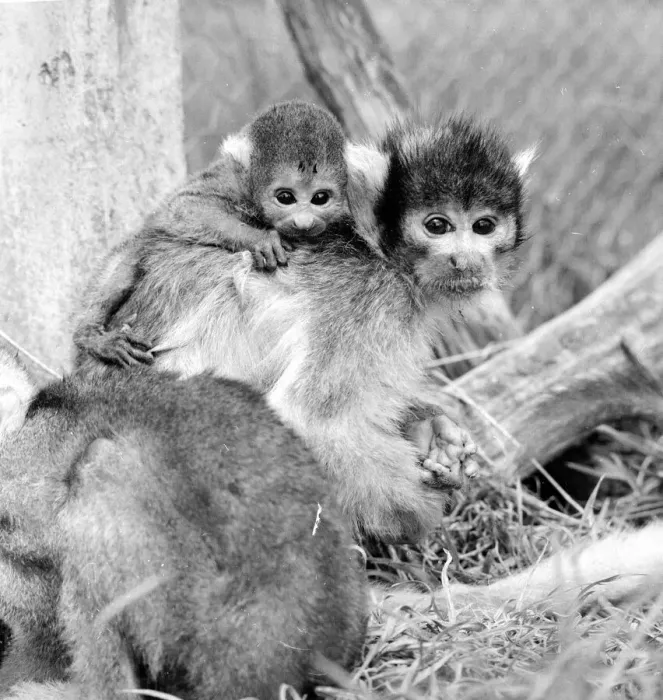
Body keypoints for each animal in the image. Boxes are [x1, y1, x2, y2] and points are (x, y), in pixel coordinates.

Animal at [73, 100, 357, 371]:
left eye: (320, 198)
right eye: (285, 197)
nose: (304, 221)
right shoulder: (230, 181)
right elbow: (184, 208)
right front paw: (262, 240)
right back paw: (89, 335)